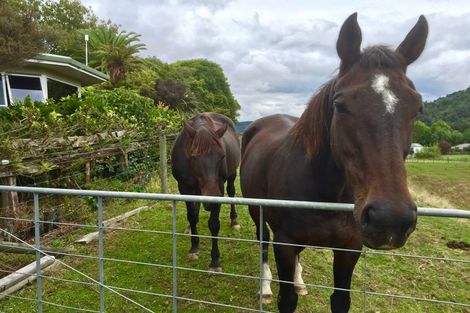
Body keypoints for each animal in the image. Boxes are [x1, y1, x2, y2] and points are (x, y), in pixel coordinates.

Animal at [171, 111, 241, 270]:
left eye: (222, 156)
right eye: (194, 156)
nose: (211, 202)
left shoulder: (219, 188)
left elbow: (214, 224)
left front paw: (214, 261)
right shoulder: (184, 188)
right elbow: (192, 216)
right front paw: (194, 247)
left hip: (232, 175)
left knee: (232, 192)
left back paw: (234, 221)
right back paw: (189, 228)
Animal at [241, 12, 428, 312]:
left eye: (418, 107)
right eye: (340, 105)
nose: (390, 219)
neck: (326, 191)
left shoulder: (349, 247)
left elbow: (340, 300)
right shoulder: (284, 243)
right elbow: (287, 299)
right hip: (255, 211)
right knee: (262, 243)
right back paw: (265, 287)